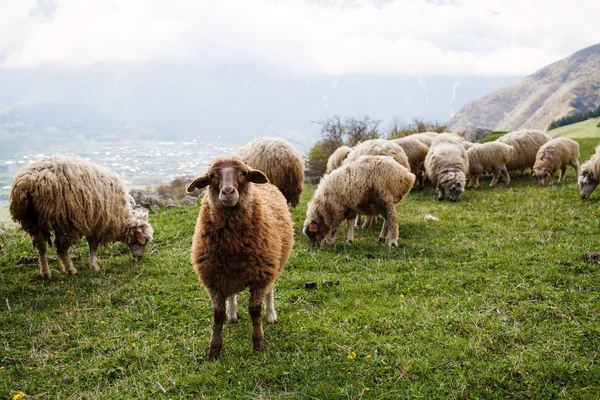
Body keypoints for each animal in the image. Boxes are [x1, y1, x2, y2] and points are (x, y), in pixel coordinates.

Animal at [9, 155, 154, 280]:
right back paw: (70, 269)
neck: (121, 218)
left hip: (33, 220)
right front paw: (94, 265)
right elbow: (93, 246)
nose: (139, 257)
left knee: (41, 246)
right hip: (64, 221)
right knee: (61, 247)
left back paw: (46, 273)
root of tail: (28, 184)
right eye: (143, 241)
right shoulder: (98, 223)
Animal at [186, 155, 292, 360]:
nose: (228, 192)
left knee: (270, 291)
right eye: (211, 176)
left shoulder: (261, 276)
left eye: (243, 174)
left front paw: (258, 343)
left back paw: (271, 315)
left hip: (273, 264)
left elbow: (254, 310)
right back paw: (232, 315)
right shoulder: (213, 279)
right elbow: (218, 315)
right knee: (232, 295)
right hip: (229, 273)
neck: (232, 244)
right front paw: (214, 350)